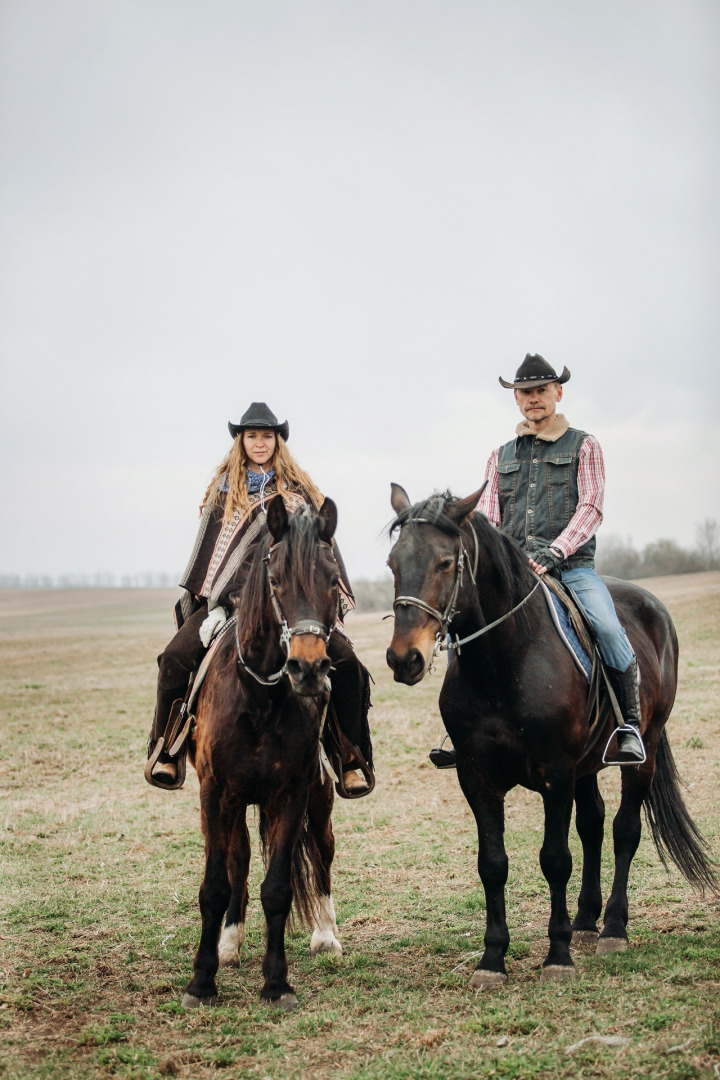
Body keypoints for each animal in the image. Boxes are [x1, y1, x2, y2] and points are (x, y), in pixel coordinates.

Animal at [183, 496, 345, 1010]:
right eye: (275, 580)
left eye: (332, 580)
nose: (308, 669)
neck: (260, 699)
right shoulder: (215, 793)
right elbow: (215, 885)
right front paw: (202, 981)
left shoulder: (291, 793)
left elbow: (277, 889)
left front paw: (277, 983)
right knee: (238, 859)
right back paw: (230, 943)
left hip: (319, 794)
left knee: (323, 848)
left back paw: (326, 935)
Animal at [388, 486, 716, 989]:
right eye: (392, 562)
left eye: (445, 562)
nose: (404, 658)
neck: (505, 662)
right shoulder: (477, 778)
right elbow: (493, 864)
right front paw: (492, 959)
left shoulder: (556, 774)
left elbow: (556, 859)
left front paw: (557, 956)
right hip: (587, 767)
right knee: (593, 826)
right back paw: (585, 922)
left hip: (643, 751)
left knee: (624, 830)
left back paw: (613, 928)